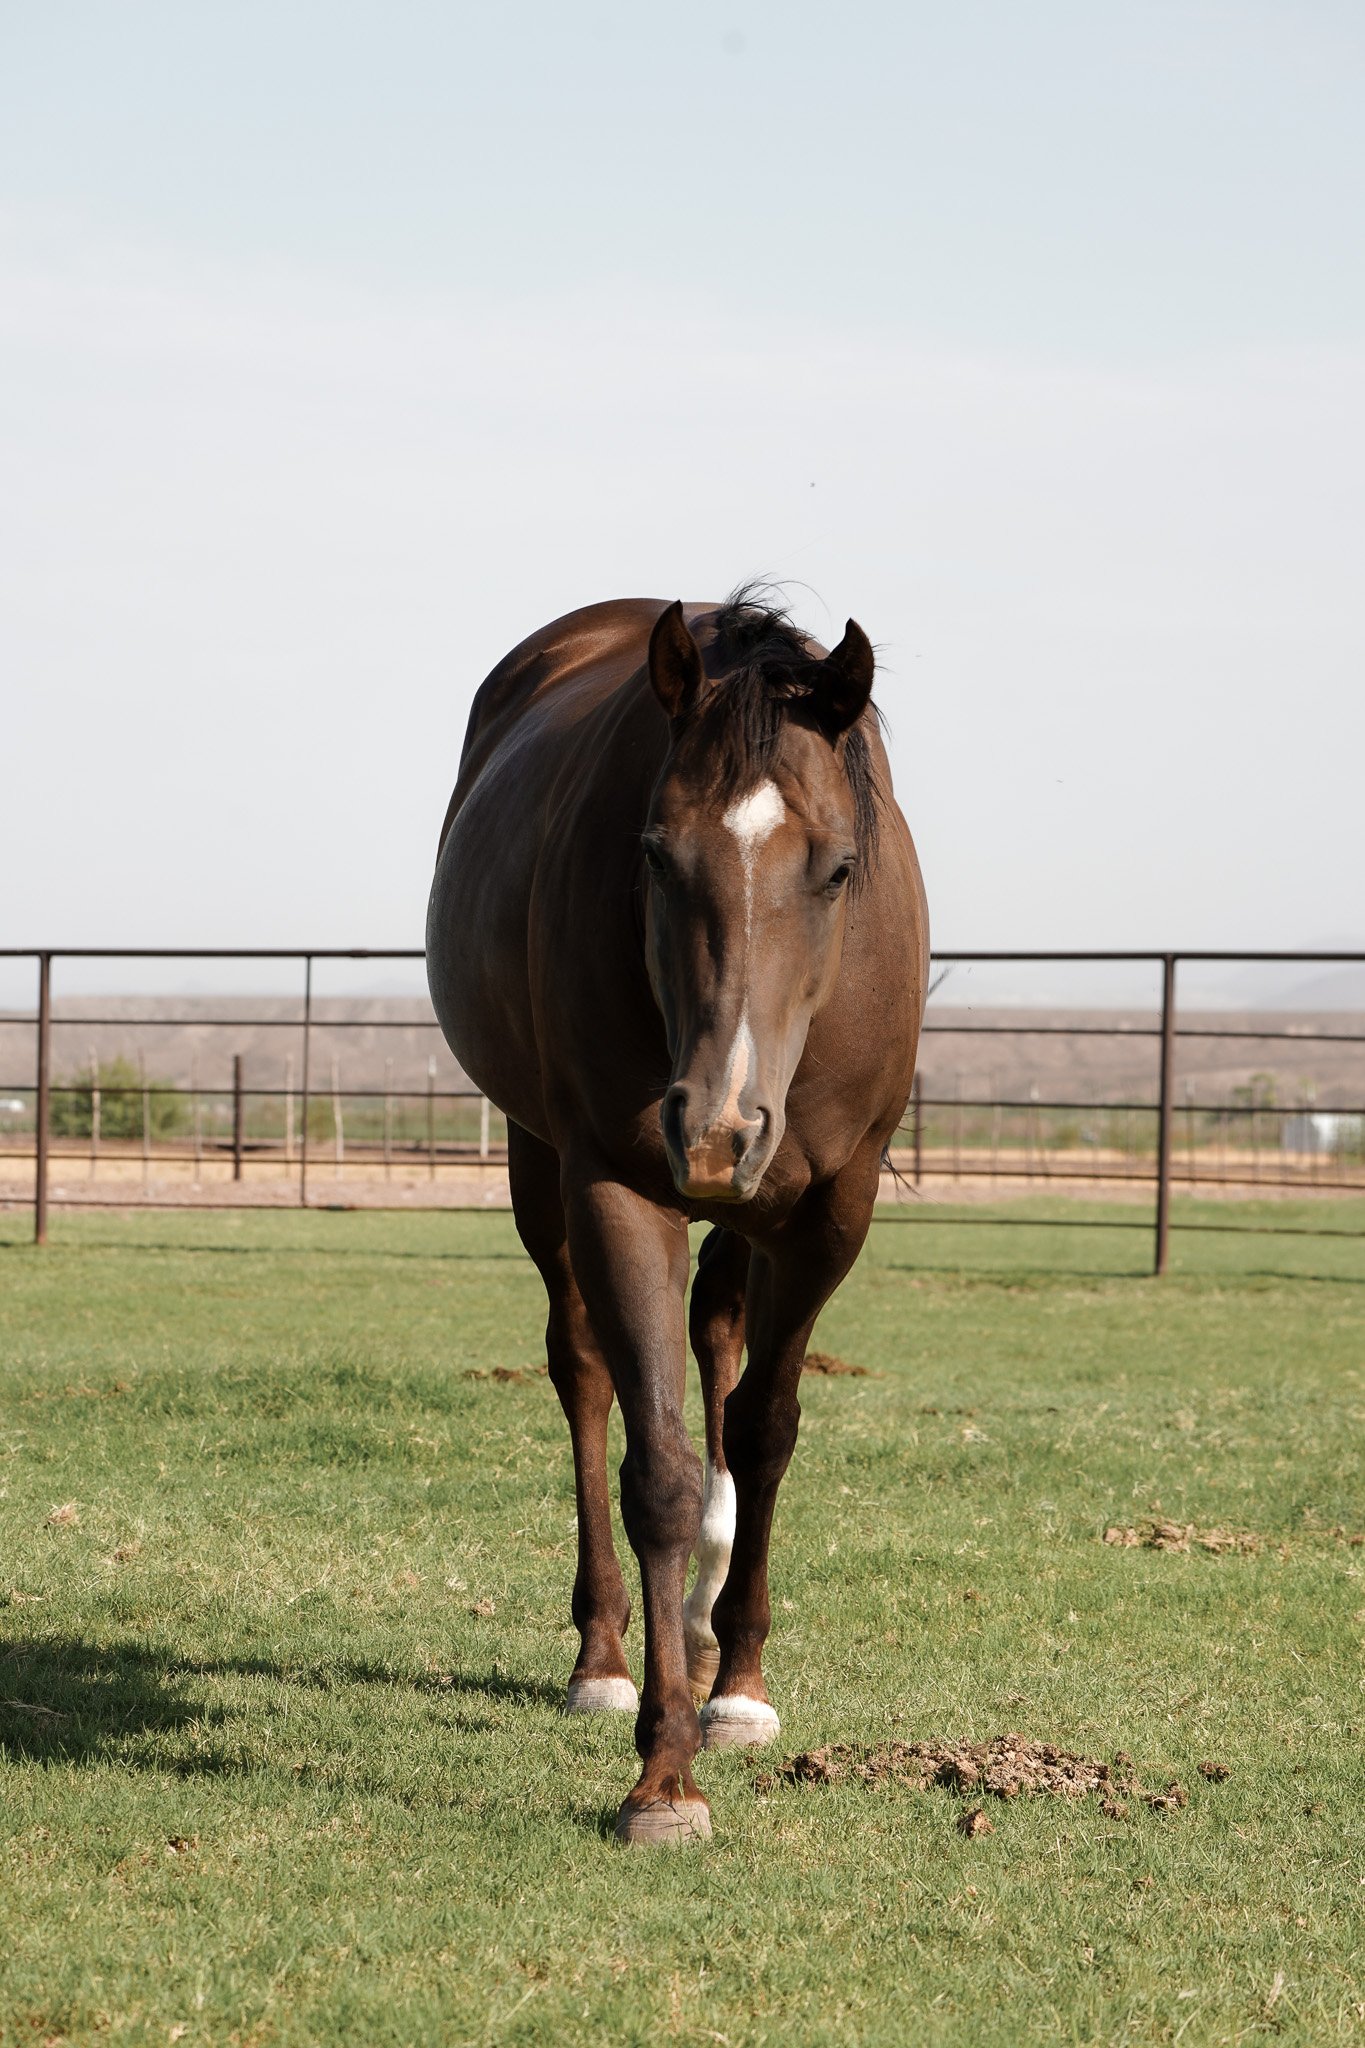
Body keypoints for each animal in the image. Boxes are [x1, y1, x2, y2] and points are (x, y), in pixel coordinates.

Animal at [427, 590, 928, 1844]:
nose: (715, 1124)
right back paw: (605, 1657)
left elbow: (766, 1427)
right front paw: (664, 1774)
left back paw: (709, 1629)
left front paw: (737, 1685)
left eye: (840, 868)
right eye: (654, 853)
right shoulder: (614, 1178)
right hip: (544, 1160)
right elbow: (652, 1463)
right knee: (585, 1370)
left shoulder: (833, 1206)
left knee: (720, 1345)